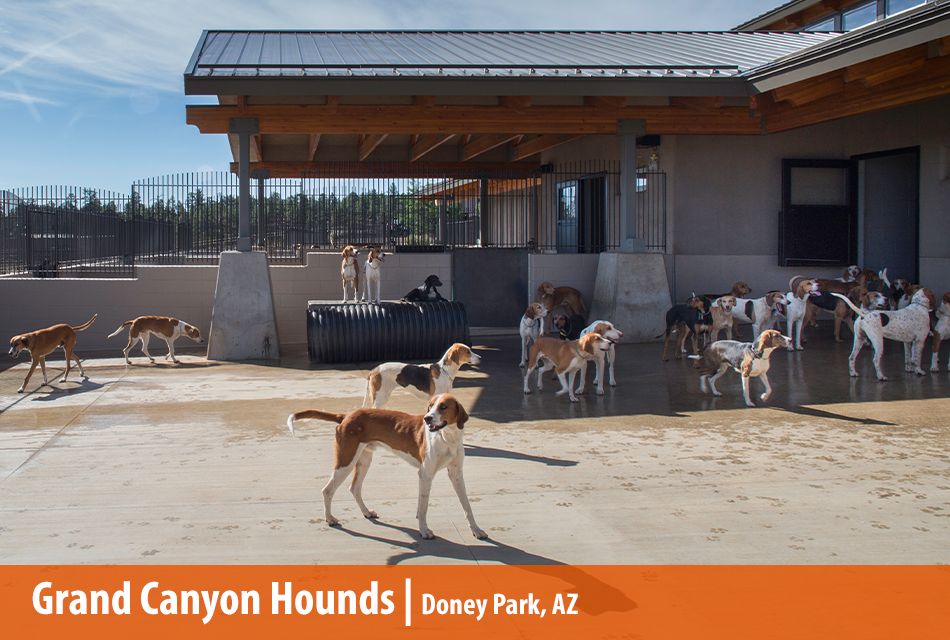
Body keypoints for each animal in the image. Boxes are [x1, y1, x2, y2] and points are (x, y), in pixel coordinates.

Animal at [288, 392, 484, 536]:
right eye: (430, 406)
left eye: (443, 407)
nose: (427, 418)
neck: (447, 438)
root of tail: (346, 415)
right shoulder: (426, 474)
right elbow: (424, 507)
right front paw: (424, 530)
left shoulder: (456, 474)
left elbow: (467, 505)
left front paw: (476, 530)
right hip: (345, 462)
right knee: (327, 490)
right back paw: (329, 519)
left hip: (364, 461)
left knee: (354, 488)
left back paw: (366, 512)